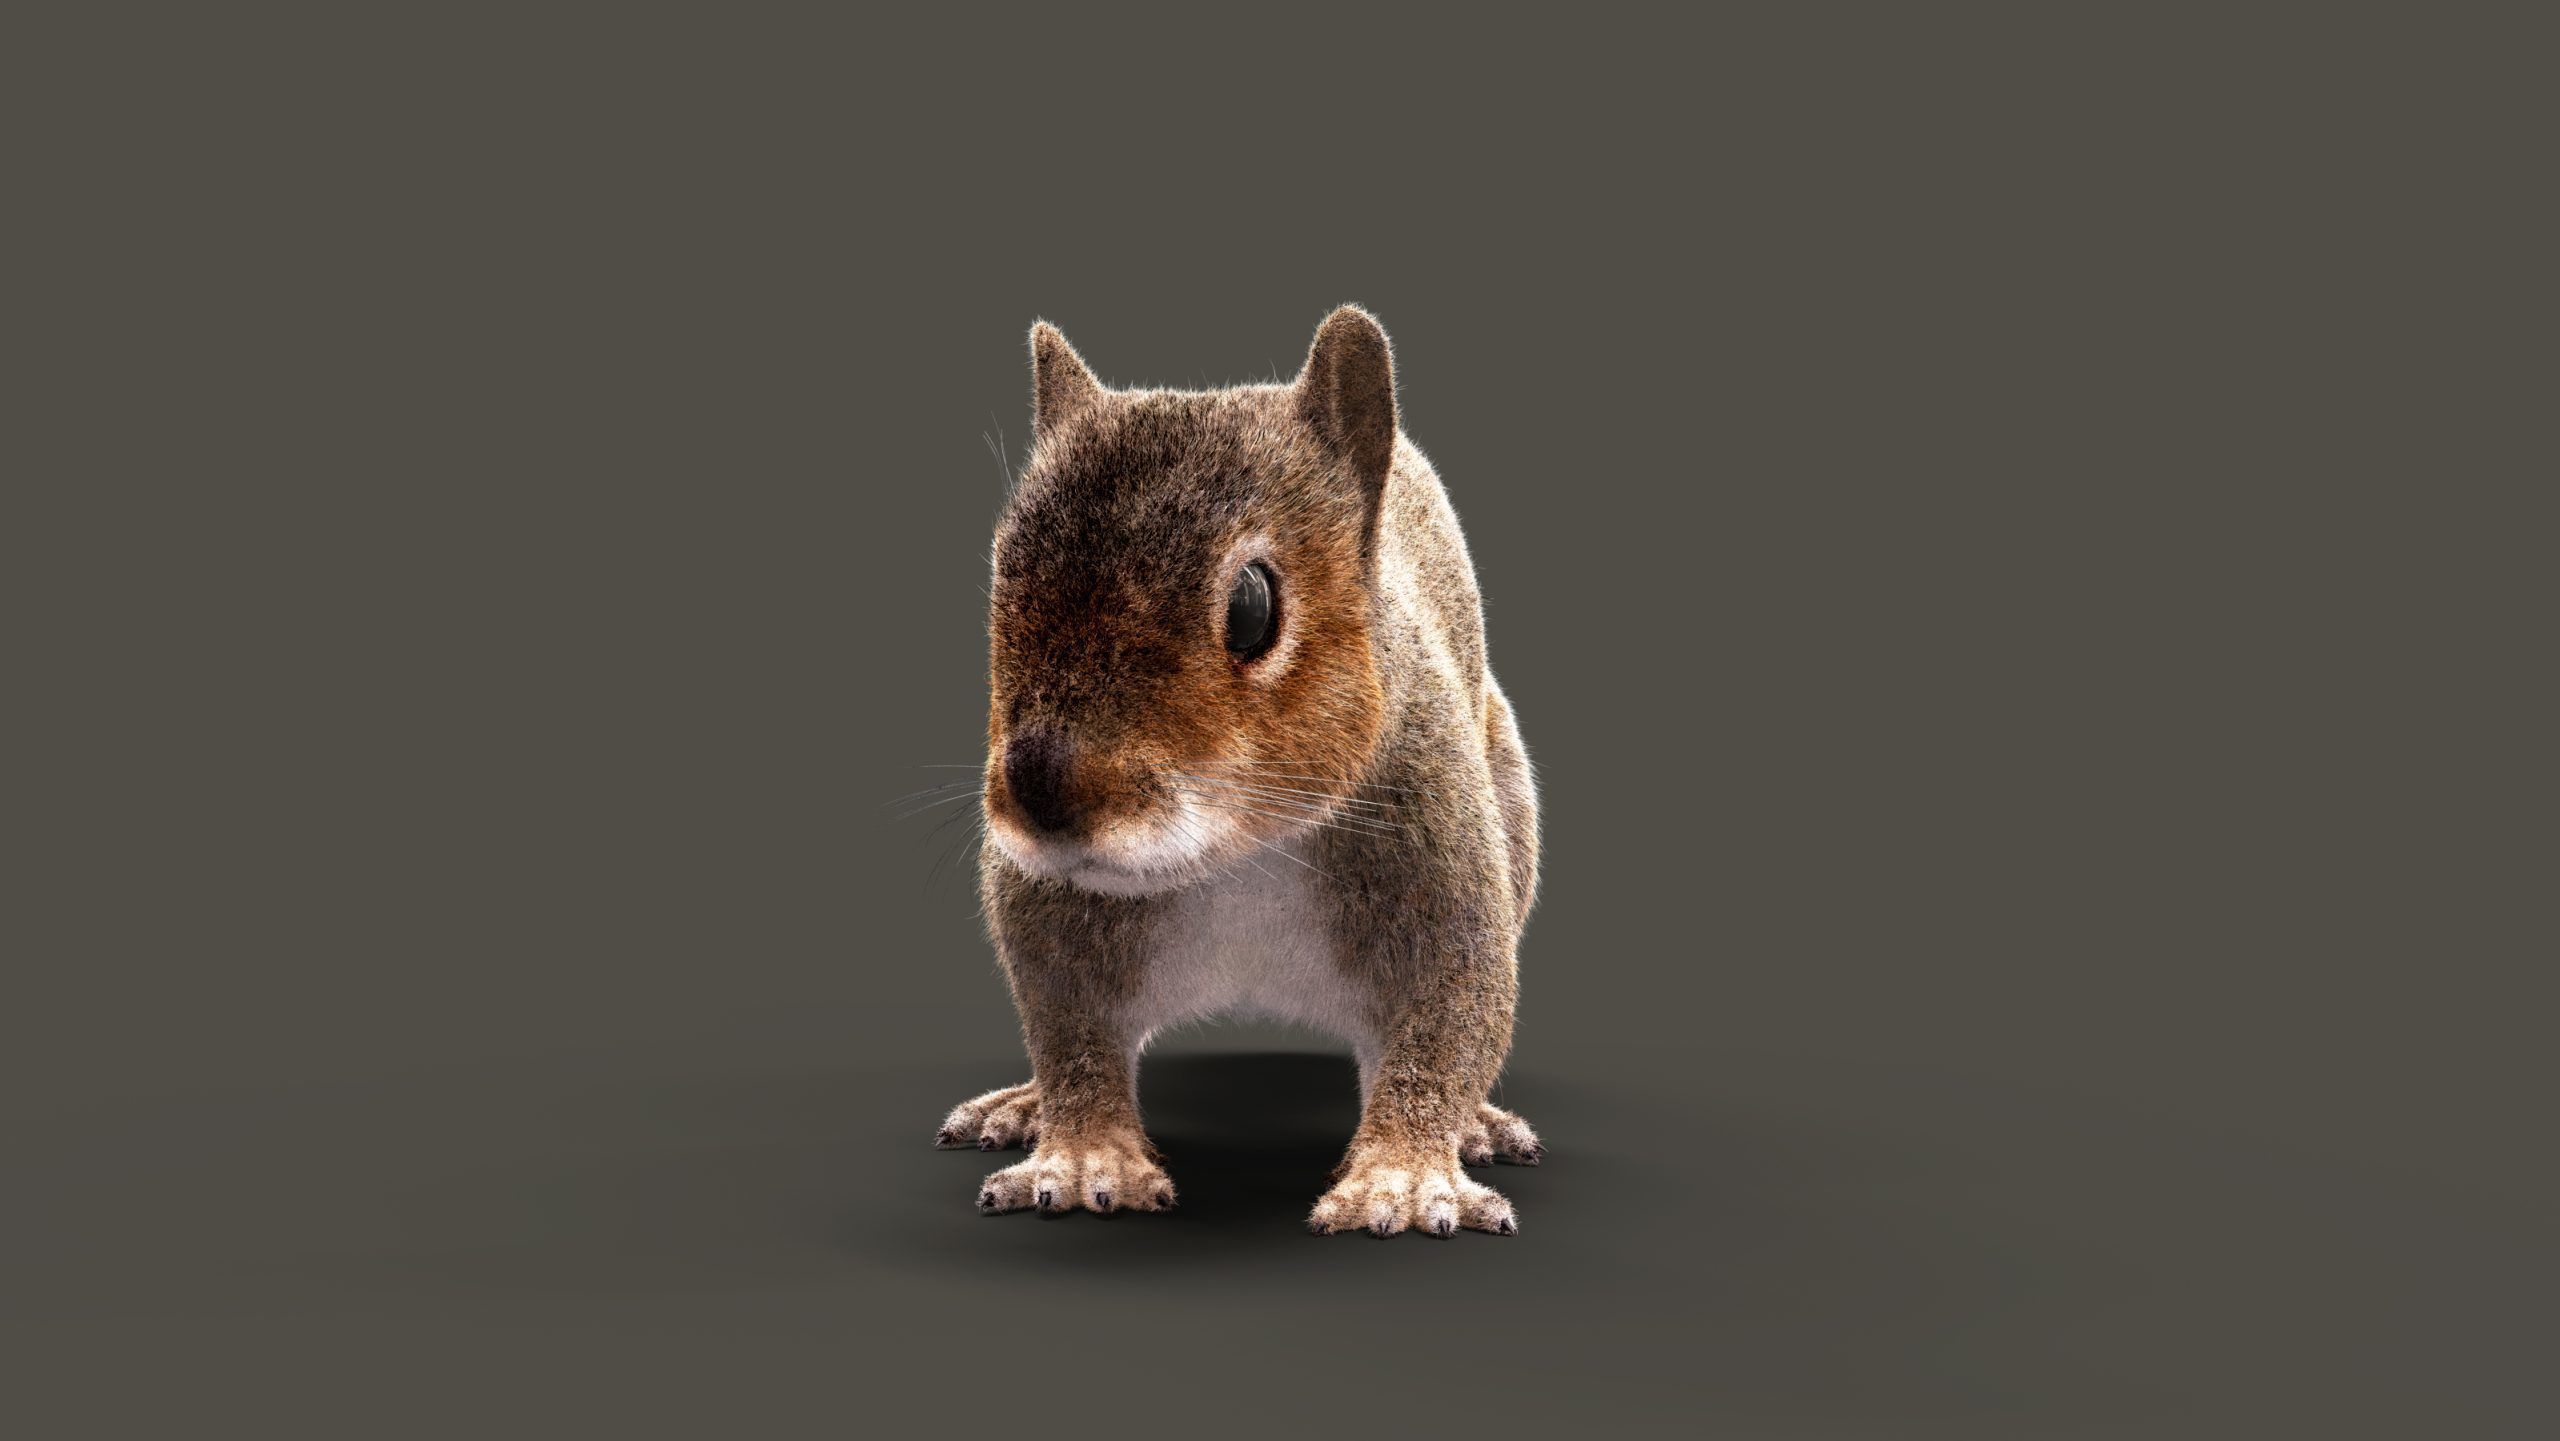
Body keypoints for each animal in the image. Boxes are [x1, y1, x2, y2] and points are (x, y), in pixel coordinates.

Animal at [936, 306, 1543, 1238]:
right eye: (1004, 570)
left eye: (1253, 607)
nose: (1043, 795)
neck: (1239, 855)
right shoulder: (1048, 905)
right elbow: (1068, 1024)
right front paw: (1083, 1152)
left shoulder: (1436, 847)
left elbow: (1453, 1010)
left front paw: (1403, 1176)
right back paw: (1025, 1103)